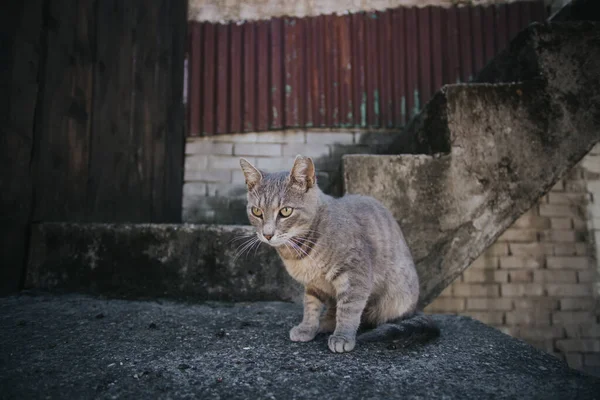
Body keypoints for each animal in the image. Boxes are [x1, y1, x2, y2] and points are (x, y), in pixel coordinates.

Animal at [239, 156, 440, 354]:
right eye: (256, 211)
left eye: (285, 211)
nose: (267, 234)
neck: (299, 251)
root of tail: (414, 307)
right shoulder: (314, 284)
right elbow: (310, 306)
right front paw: (307, 327)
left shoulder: (355, 274)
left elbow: (348, 309)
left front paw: (342, 336)